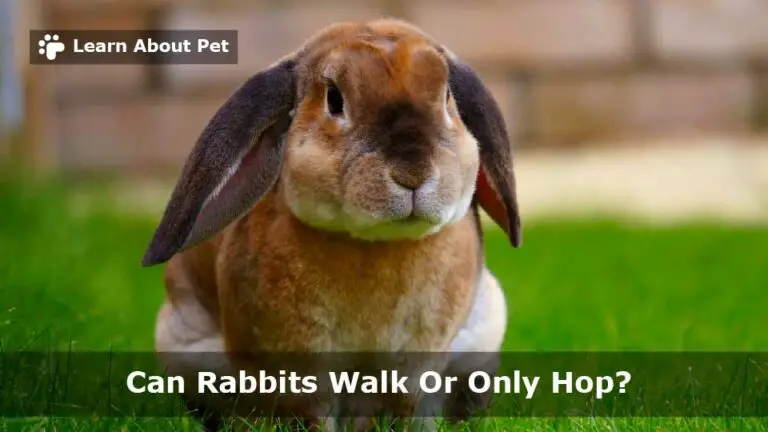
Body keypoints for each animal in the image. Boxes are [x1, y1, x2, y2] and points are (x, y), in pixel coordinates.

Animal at [143, 18, 521, 432]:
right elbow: (310, 410)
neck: (372, 245)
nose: (413, 173)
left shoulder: (416, 359)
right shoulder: (296, 365)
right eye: (334, 100)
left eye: (447, 97)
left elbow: (403, 404)